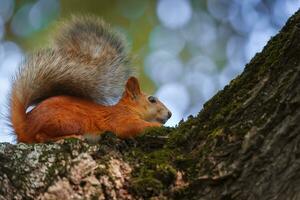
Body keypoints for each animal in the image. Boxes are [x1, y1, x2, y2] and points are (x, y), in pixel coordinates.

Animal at [9, 16, 172, 144]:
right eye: (152, 100)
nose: (170, 114)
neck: (126, 108)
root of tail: (25, 127)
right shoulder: (121, 120)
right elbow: (135, 127)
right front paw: (160, 127)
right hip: (67, 121)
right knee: (41, 136)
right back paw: (70, 137)